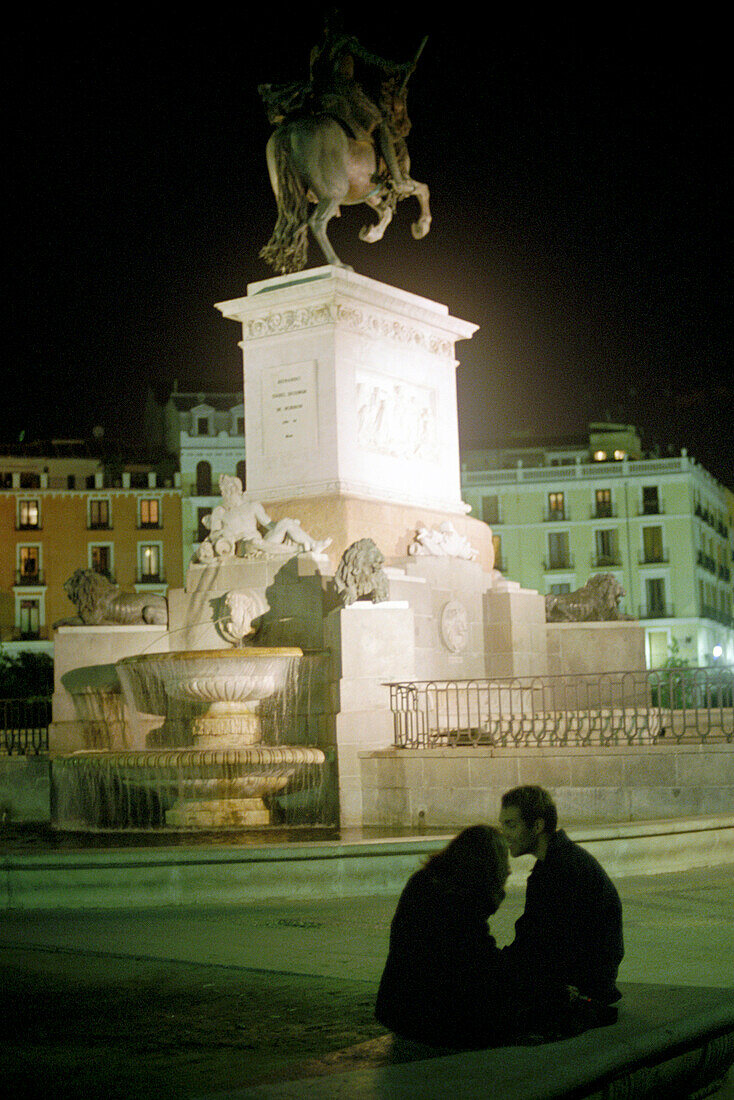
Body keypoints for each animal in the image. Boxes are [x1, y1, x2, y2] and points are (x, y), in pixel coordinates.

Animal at [259, 114, 431, 275]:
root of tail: (290, 128)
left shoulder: (370, 194)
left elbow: (387, 211)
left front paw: (371, 233)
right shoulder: (400, 181)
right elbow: (423, 189)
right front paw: (421, 226)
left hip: (286, 197)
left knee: (289, 228)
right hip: (335, 193)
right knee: (316, 222)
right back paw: (337, 263)